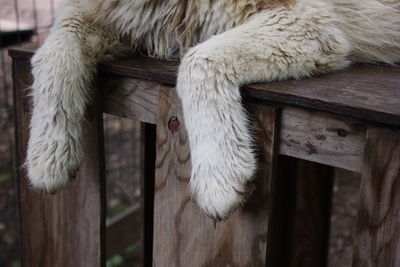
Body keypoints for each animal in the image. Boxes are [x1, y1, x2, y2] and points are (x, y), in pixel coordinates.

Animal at [28, 0, 400, 220]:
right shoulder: (100, 16)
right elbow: (51, 53)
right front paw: (48, 155)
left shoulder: (307, 20)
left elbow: (197, 61)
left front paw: (219, 175)